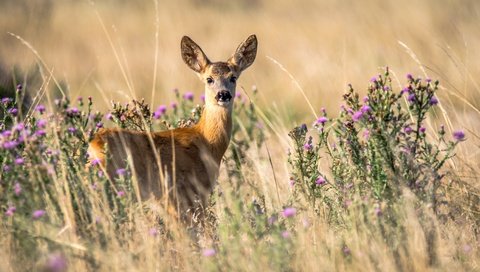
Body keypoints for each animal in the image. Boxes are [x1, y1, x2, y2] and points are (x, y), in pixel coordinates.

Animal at [87, 34, 256, 224]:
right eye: (209, 79)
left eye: (233, 77)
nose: (223, 95)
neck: (206, 142)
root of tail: (93, 145)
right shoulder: (187, 191)